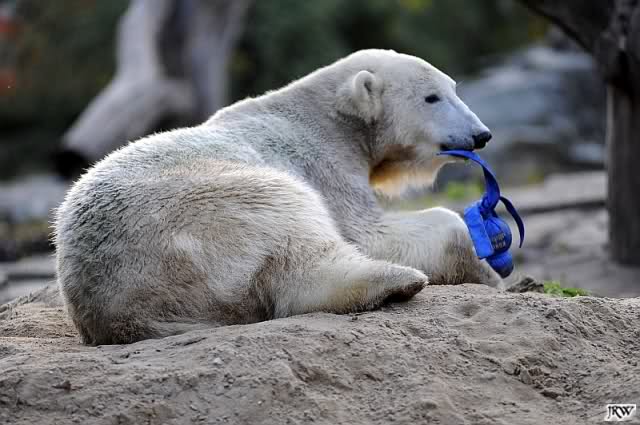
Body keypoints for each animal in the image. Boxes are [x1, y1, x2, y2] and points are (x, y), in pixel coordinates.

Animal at [54, 49, 500, 345]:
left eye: (454, 89)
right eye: (431, 97)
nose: (481, 134)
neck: (328, 119)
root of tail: (115, 314)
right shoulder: (324, 166)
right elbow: (369, 232)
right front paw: (486, 270)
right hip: (207, 208)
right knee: (292, 235)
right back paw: (396, 281)